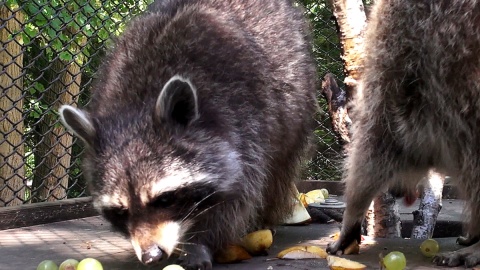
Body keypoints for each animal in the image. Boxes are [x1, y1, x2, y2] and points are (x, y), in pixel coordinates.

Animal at [58, 1, 316, 268]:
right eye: (120, 211)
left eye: (164, 199)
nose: (151, 255)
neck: (137, 104)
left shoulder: (245, 123)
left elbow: (236, 198)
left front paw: (200, 242)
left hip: (295, 99)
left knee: (279, 170)